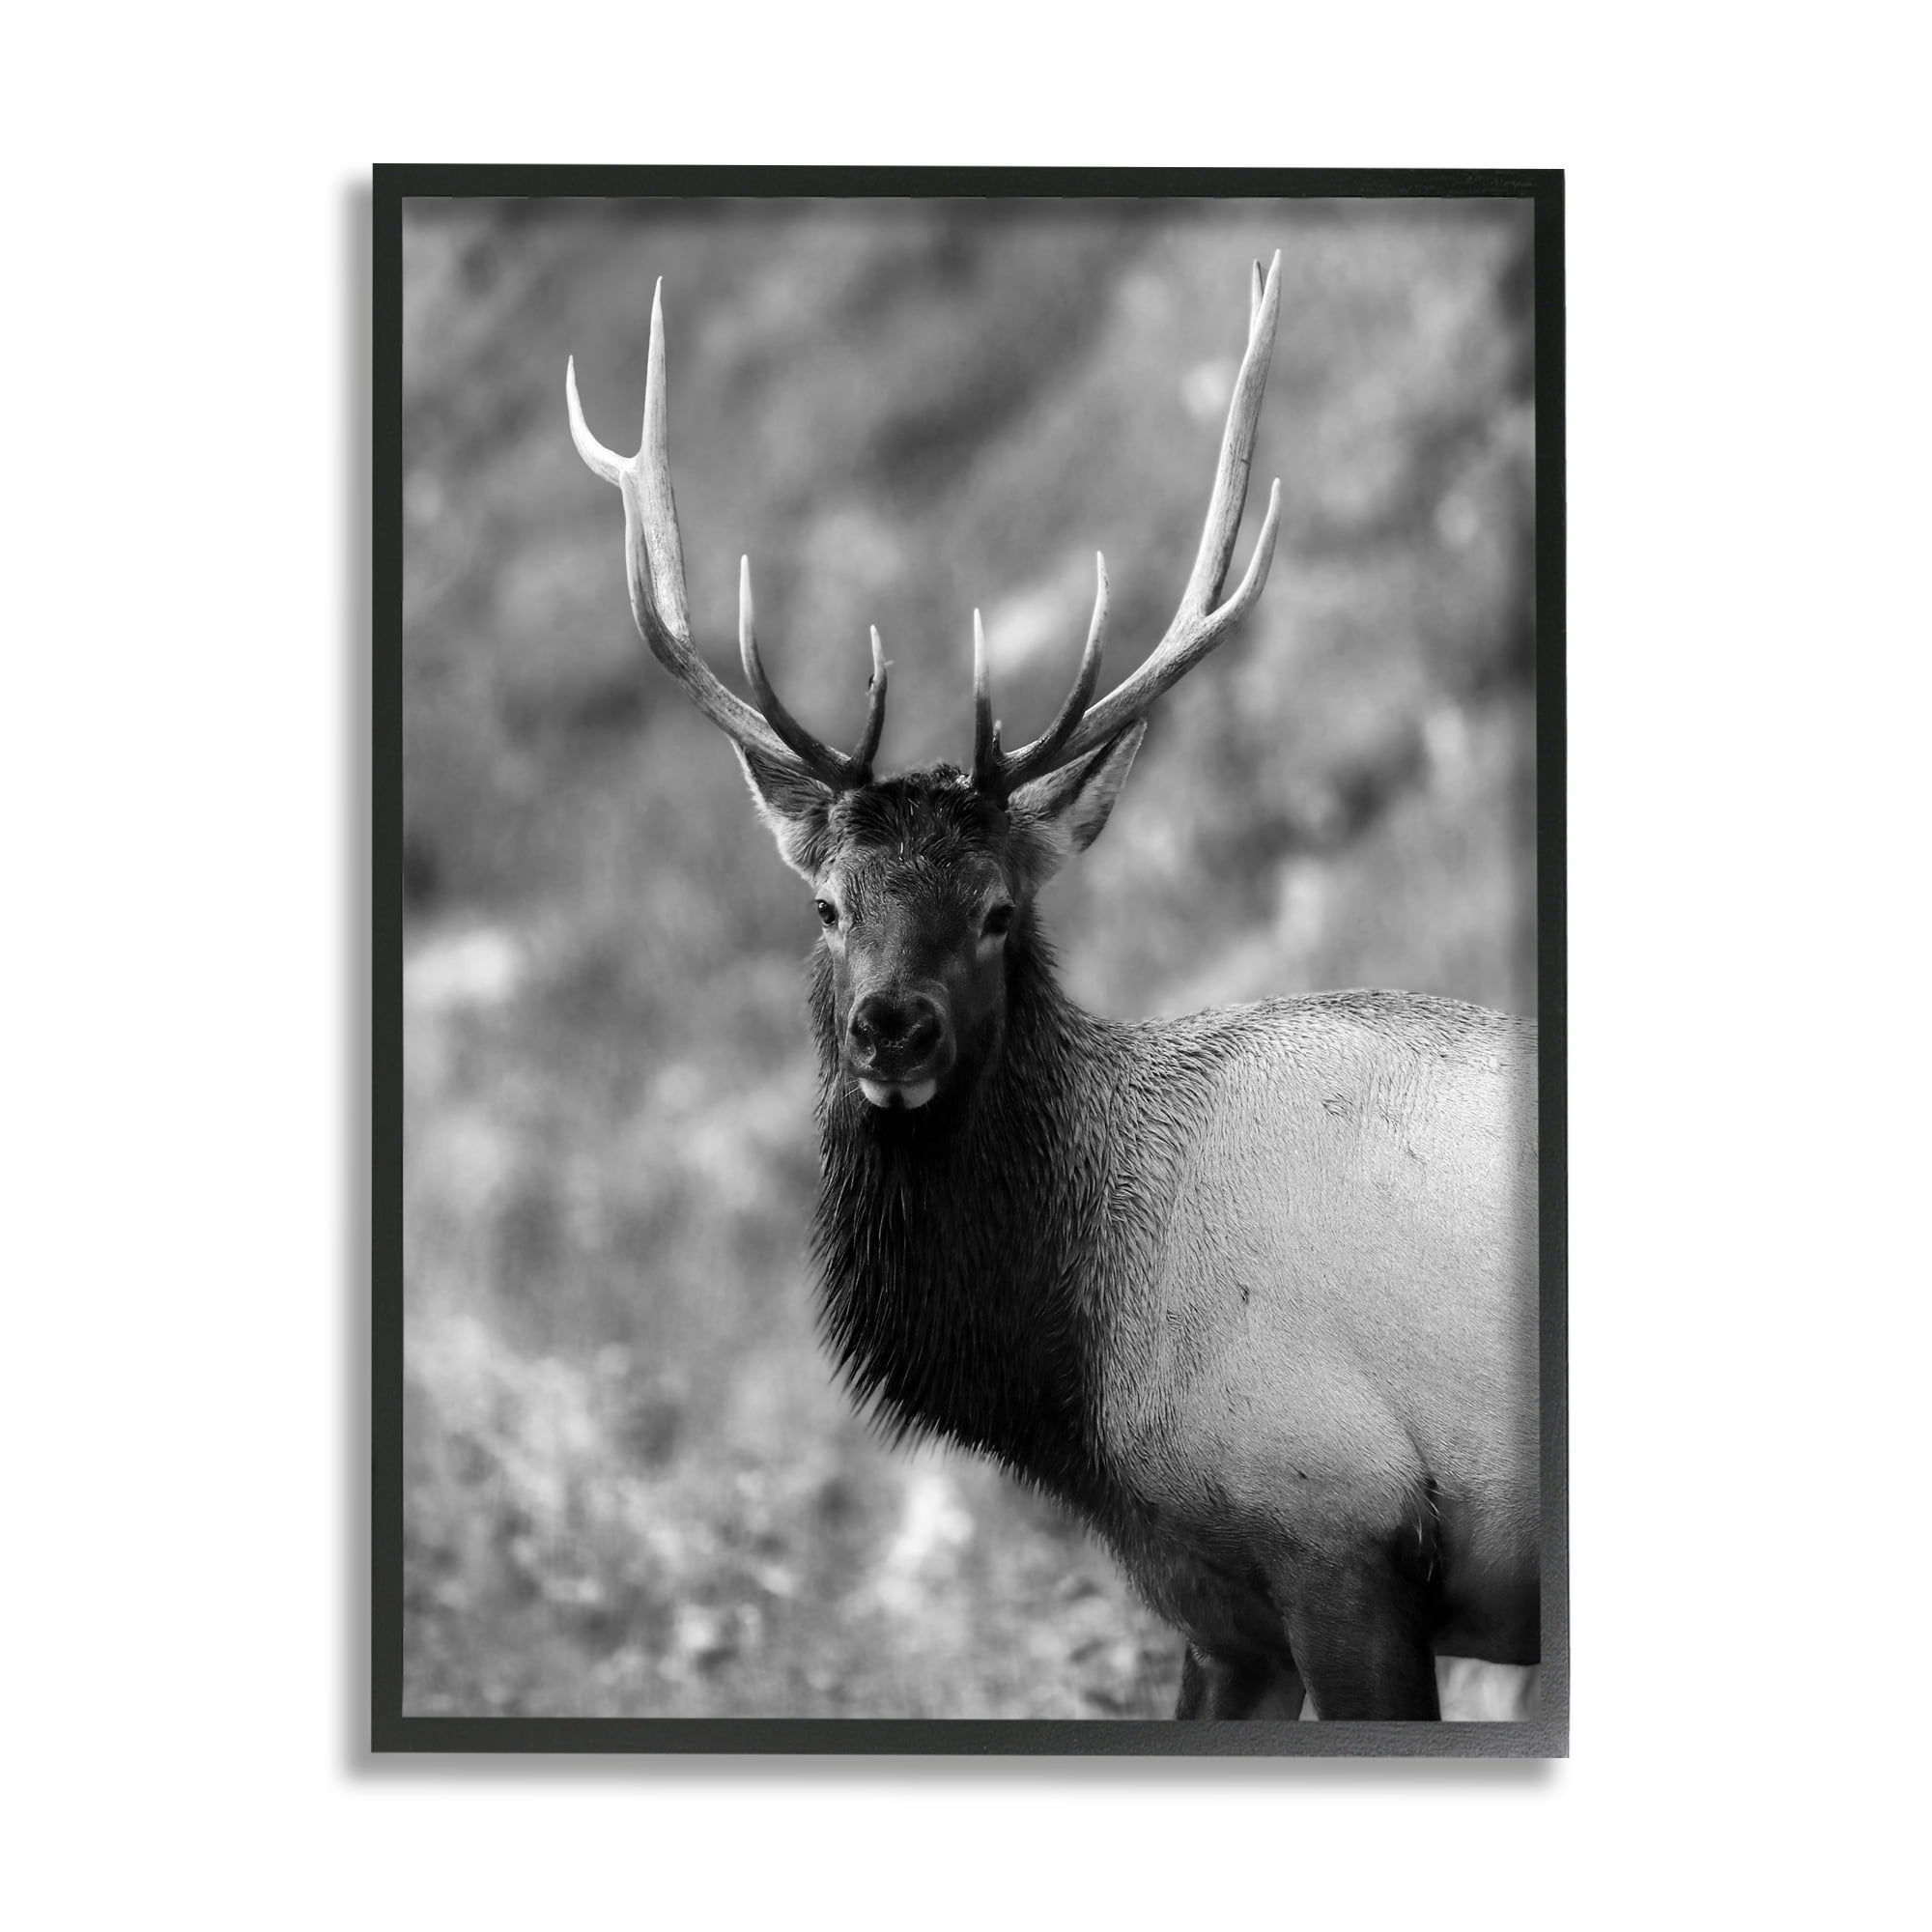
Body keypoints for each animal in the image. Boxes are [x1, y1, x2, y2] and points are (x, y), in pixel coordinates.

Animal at [564, 252, 1539, 1721]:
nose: (890, 1029)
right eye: (828, 905)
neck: (1079, 1376)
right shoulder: (1214, 1602)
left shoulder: (1340, 1531)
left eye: (999, 910)